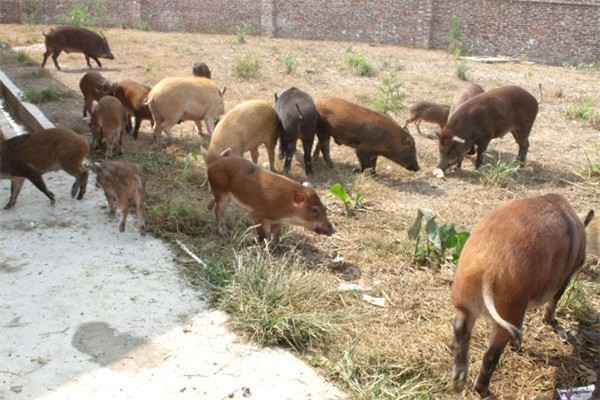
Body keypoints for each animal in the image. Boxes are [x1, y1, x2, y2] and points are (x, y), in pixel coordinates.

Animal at [207, 155, 336, 244]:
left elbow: (275, 235)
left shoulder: (277, 221)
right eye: (315, 210)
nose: (333, 230)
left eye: (324, 208)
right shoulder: (257, 215)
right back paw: (224, 235)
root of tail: (212, 166)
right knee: (218, 212)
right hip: (221, 192)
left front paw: (272, 247)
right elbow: (263, 235)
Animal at [450, 194, 592, 396]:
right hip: (511, 302)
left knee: (460, 328)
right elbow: (555, 298)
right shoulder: (566, 275)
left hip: (464, 295)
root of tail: (488, 270)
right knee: (491, 353)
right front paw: (550, 322)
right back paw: (484, 390)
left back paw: (458, 384)